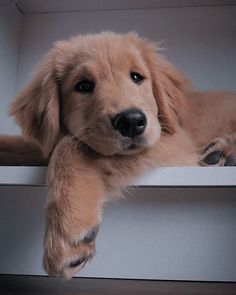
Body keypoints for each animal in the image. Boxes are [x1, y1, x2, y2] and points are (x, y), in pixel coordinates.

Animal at [0, 32, 236, 280]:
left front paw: (68, 226)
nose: (131, 121)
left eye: (136, 77)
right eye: (83, 85)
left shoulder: (175, 145)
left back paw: (224, 153)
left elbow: (71, 145)